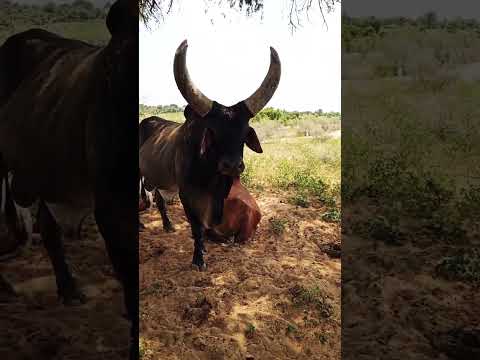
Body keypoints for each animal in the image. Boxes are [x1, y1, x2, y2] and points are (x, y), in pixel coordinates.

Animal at [139, 39, 282, 270]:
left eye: (245, 132)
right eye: (212, 131)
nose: (232, 165)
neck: (209, 175)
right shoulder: (186, 195)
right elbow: (197, 227)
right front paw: (199, 258)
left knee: (160, 200)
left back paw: (168, 225)